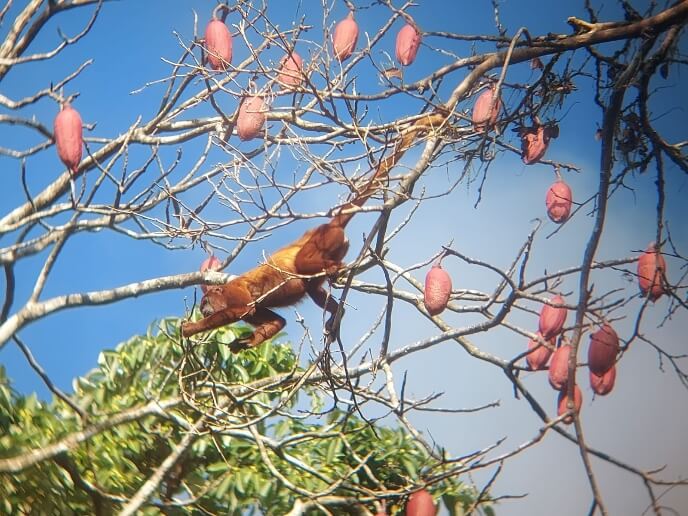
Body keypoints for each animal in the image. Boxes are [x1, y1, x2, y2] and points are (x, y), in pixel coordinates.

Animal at [180, 111, 447, 351]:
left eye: (205, 303)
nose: (204, 310)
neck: (223, 293)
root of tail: (330, 225)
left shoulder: (234, 293)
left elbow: (239, 310)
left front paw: (191, 328)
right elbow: (277, 321)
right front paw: (247, 342)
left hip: (326, 240)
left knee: (303, 263)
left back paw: (335, 269)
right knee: (312, 288)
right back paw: (337, 312)